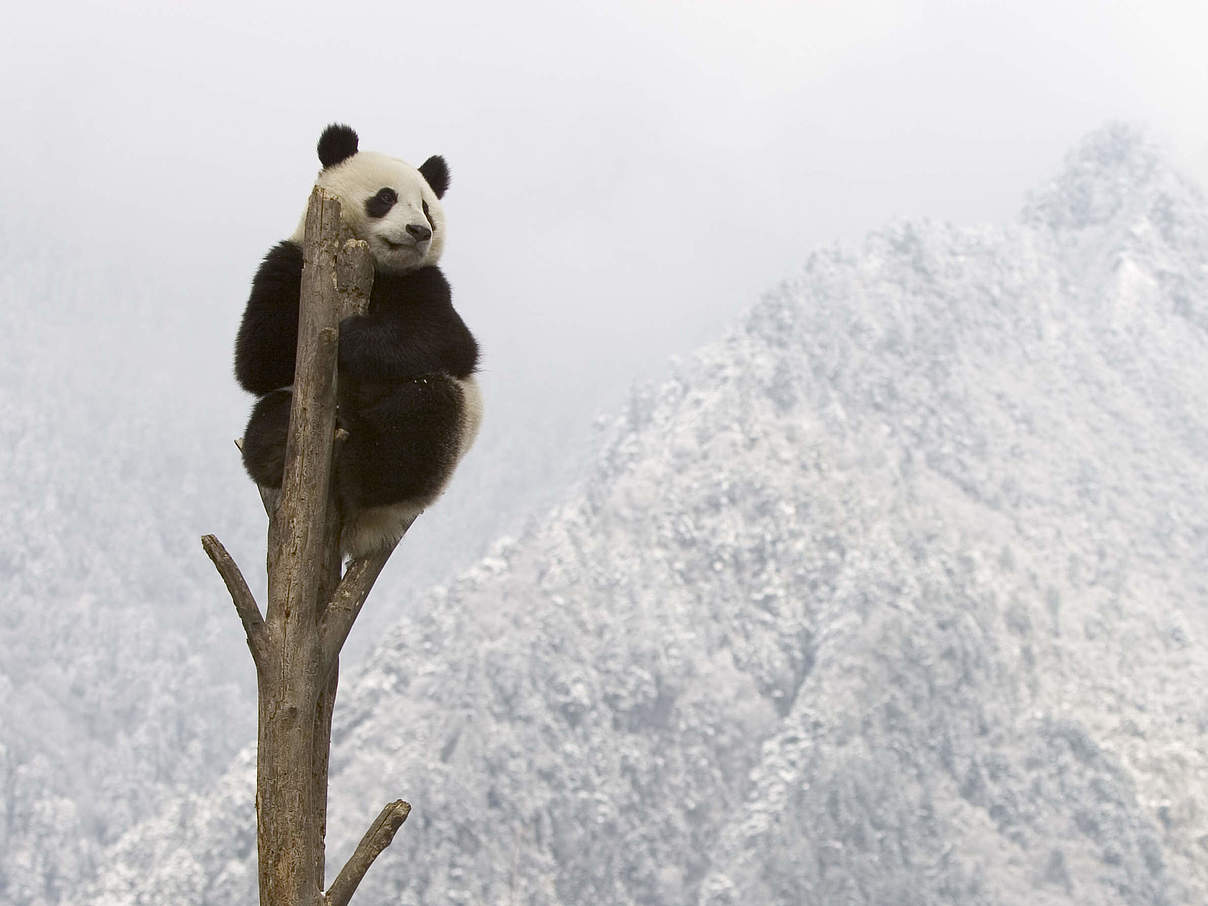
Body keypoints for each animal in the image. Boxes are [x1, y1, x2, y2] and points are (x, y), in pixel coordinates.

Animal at [235, 124, 480, 558]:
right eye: (386, 197)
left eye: (426, 207)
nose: (420, 231)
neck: (377, 268)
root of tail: (363, 532)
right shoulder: (287, 260)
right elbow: (257, 360)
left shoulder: (426, 283)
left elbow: (450, 342)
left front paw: (352, 337)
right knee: (269, 414)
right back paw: (279, 445)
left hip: (444, 443)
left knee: (422, 418)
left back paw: (359, 466)